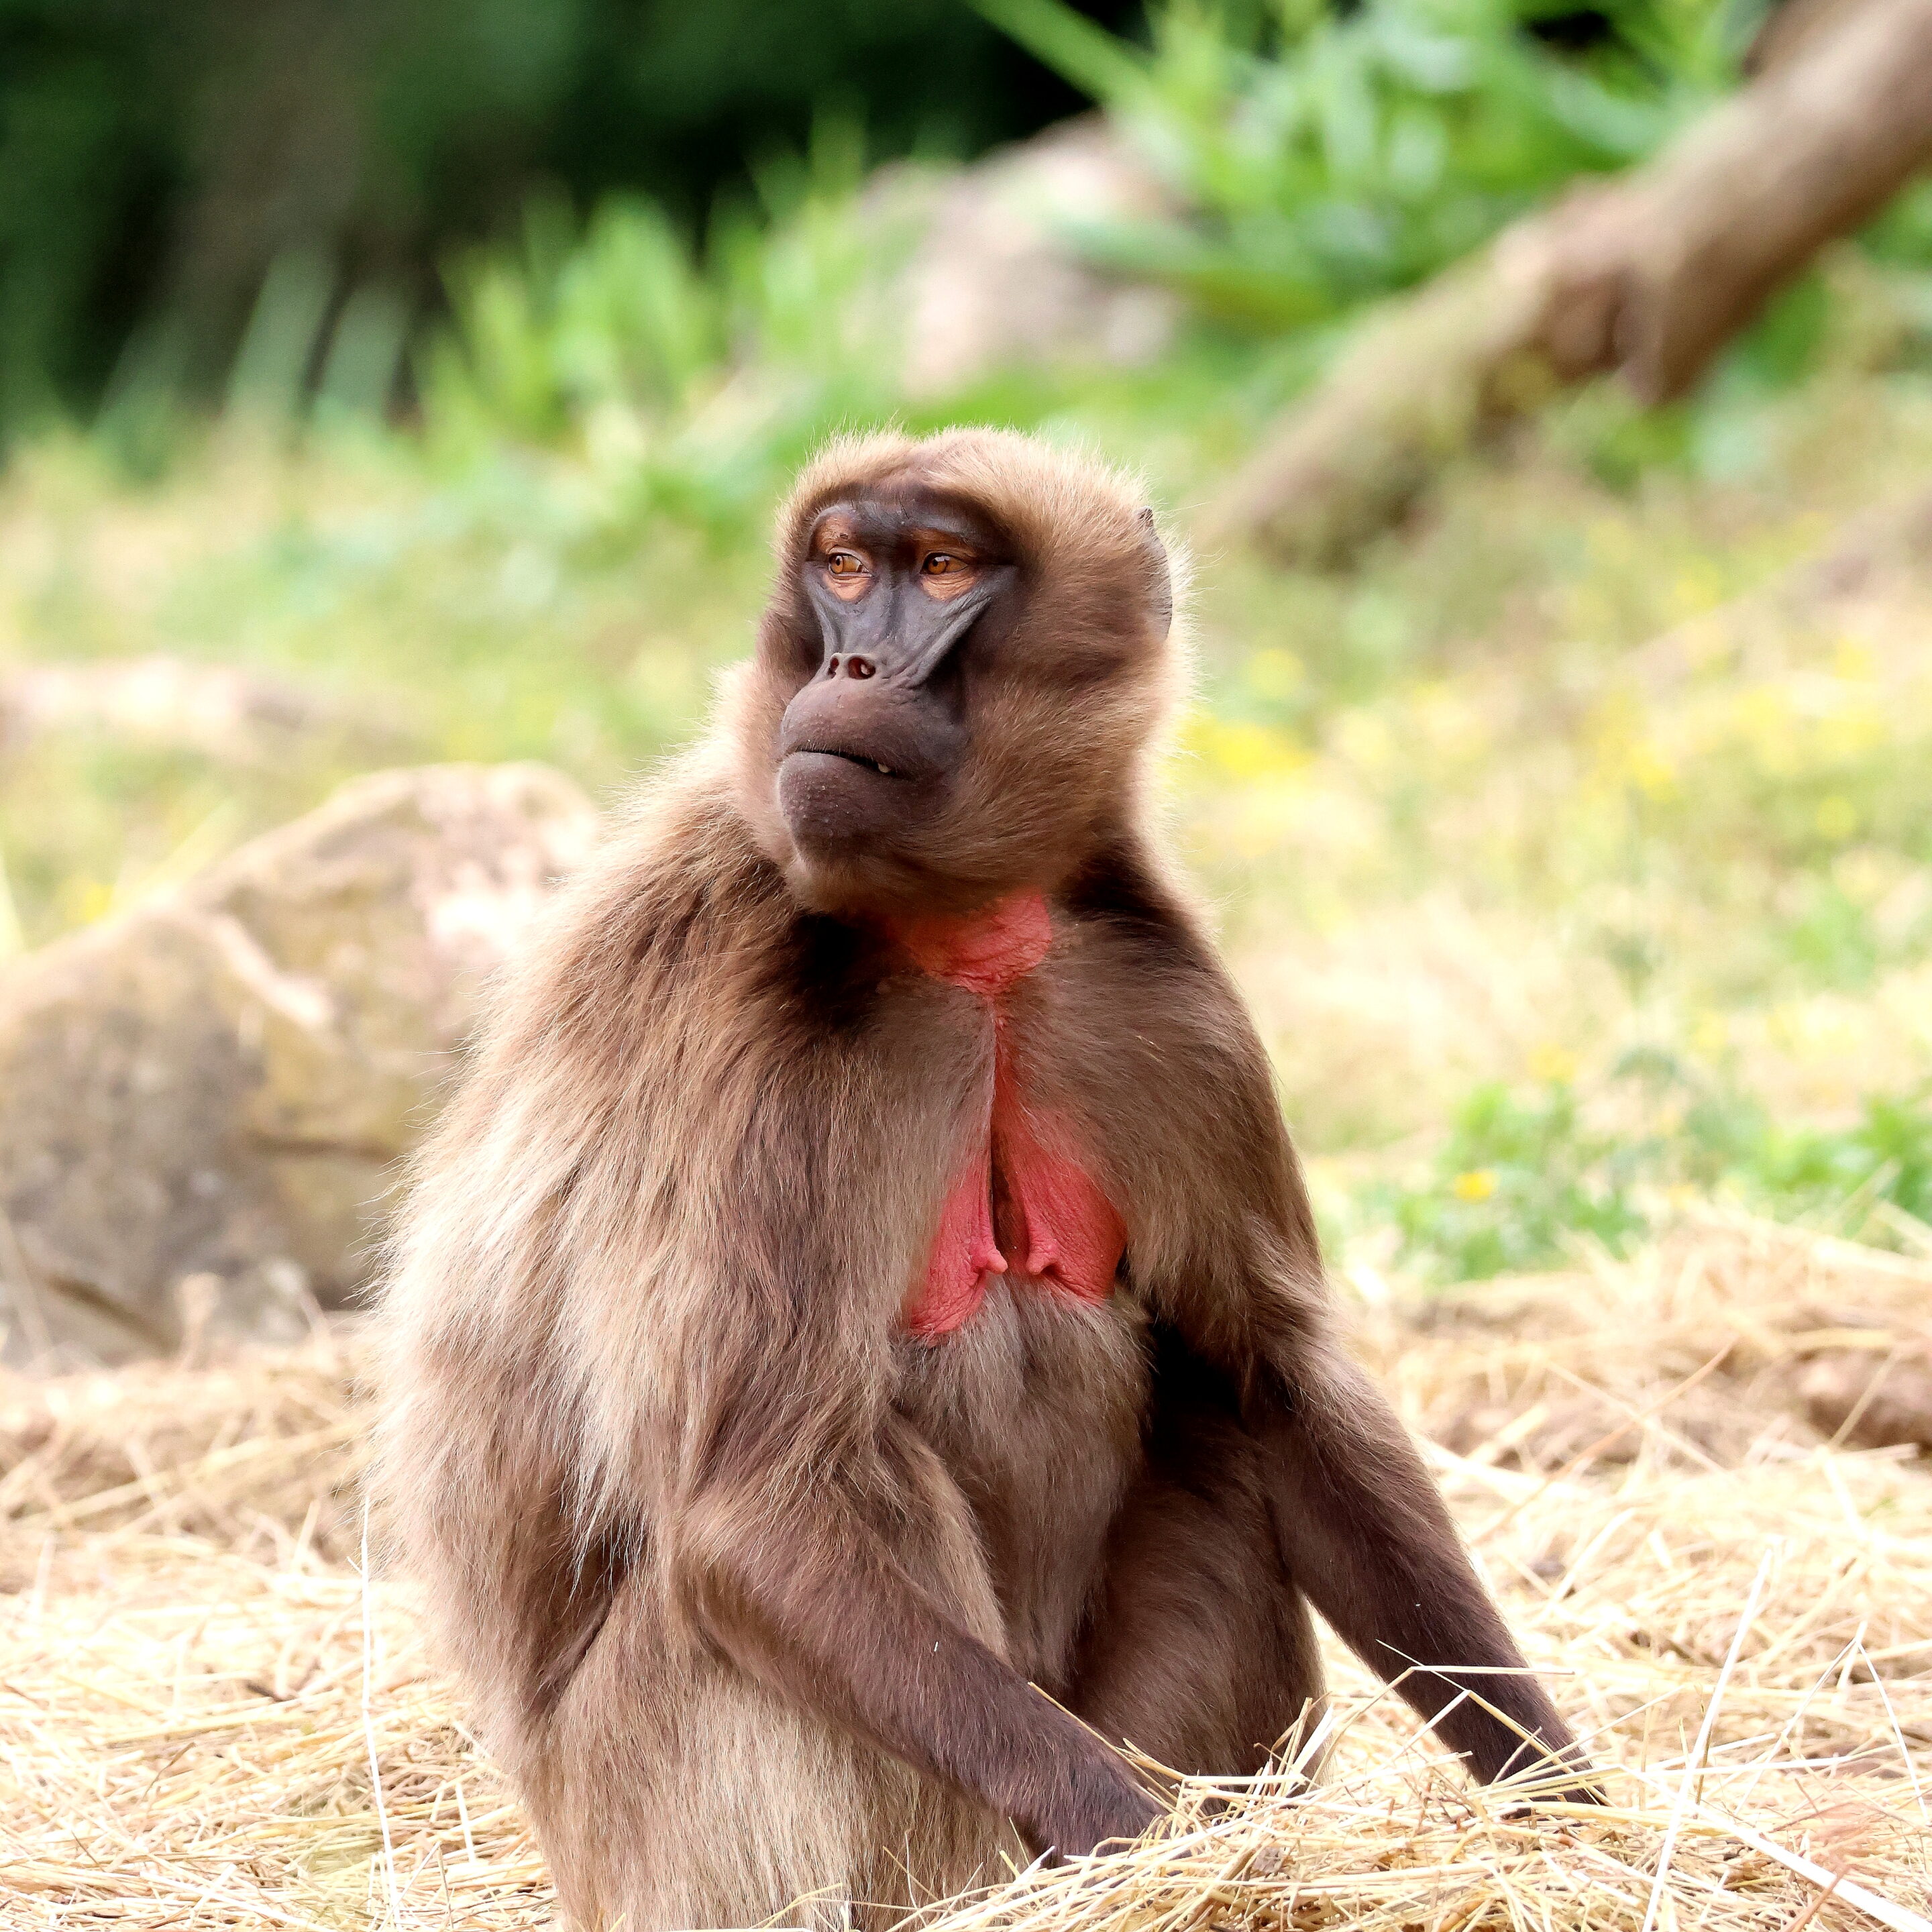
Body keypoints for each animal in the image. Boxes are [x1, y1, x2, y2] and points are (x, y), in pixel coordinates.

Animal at [378, 428, 1592, 1932]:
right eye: (845, 567)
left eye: (944, 567)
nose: (852, 667)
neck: (965, 941)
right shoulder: (753, 1039)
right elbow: (750, 1501)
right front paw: (1149, 1849)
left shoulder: (1165, 1001)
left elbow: (1272, 1382)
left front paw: (1571, 1803)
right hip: (668, 1834)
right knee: (852, 1483)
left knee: (1214, 1437)